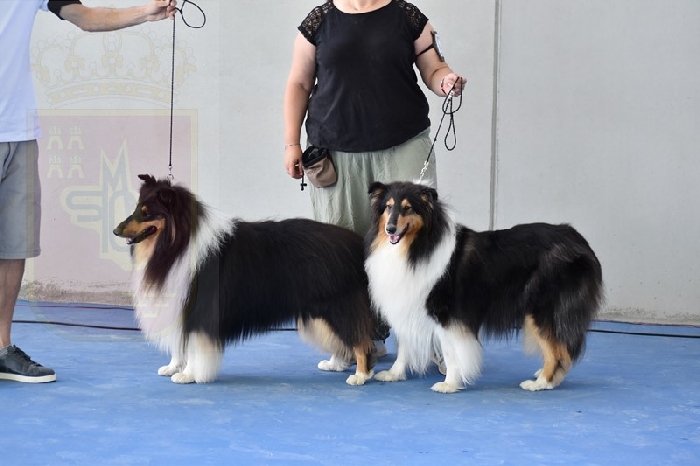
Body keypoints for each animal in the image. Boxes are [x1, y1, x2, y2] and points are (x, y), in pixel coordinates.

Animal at [113, 174, 375, 385]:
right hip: (319, 312)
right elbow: (181, 344)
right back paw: (335, 364)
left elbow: (194, 345)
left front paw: (188, 374)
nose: (116, 230)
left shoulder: (200, 310)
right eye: (137, 208)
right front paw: (172, 367)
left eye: (147, 212)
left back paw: (361, 376)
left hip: (338, 305)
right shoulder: (179, 304)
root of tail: (355, 241)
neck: (178, 243)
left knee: (360, 340)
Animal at [364, 181, 603, 393]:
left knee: (558, 350)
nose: (390, 229)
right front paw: (394, 374)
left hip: (543, 309)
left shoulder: (446, 314)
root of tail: (580, 241)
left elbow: (450, 351)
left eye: (408, 208)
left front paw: (450, 384)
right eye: (388, 207)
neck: (417, 246)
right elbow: (404, 347)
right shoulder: (408, 306)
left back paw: (541, 383)